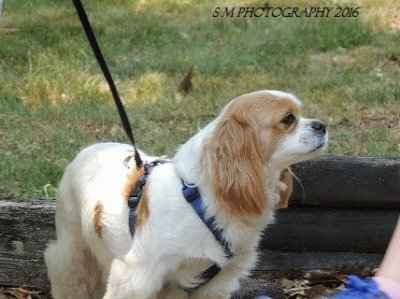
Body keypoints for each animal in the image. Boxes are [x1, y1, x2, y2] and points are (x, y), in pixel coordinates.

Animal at [44, 90, 328, 298]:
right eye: (288, 119)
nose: (322, 125)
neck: (203, 199)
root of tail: (93, 147)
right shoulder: (136, 276)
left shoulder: (212, 285)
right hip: (71, 257)